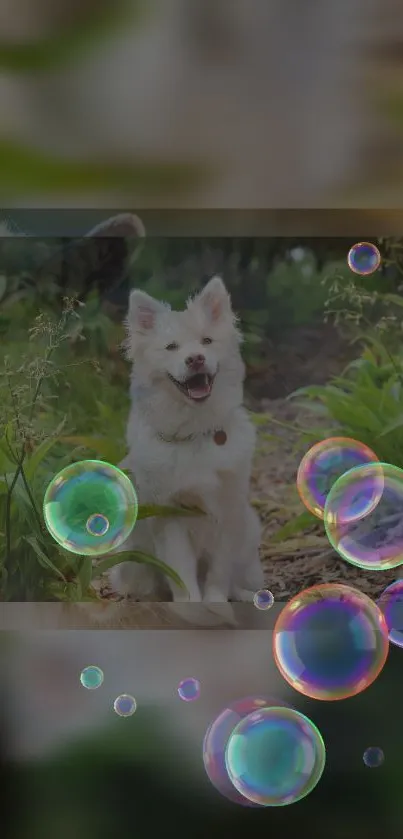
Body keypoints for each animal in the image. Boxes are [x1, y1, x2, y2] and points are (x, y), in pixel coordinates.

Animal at [109, 278, 266, 604]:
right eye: (172, 347)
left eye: (206, 341)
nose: (195, 359)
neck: (196, 431)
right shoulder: (171, 516)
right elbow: (180, 572)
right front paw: (192, 606)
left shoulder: (227, 511)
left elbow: (219, 571)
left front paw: (216, 603)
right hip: (133, 562)